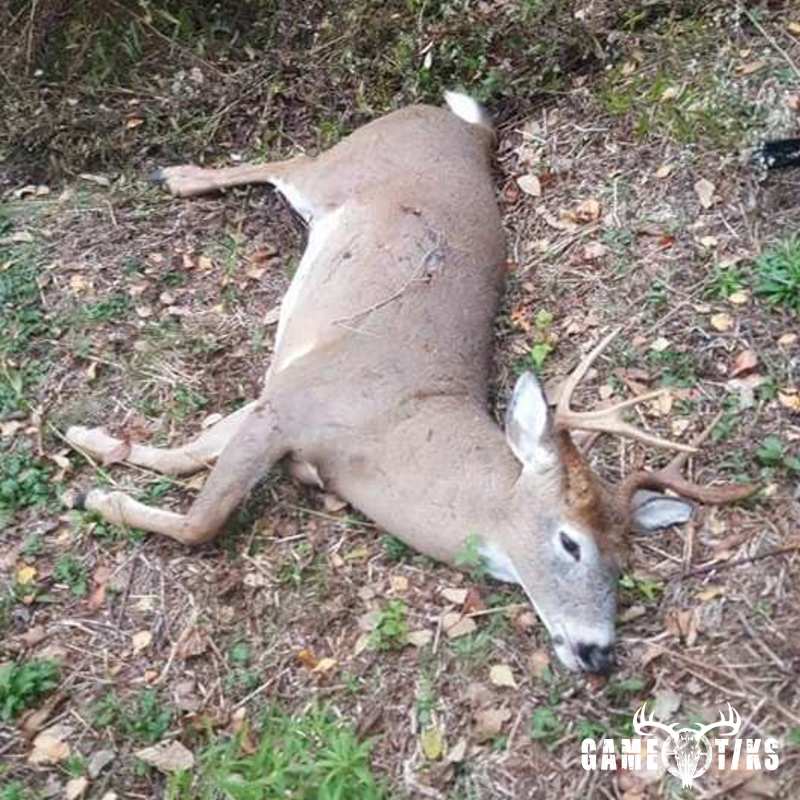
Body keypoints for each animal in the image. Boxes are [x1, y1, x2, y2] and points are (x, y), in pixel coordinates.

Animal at [65, 92, 754, 674]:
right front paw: (93, 494)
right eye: (571, 542)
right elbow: (202, 520)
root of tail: (464, 129)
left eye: (623, 559)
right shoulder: (293, 403)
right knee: (288, 158)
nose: (598, 653)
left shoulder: (277, 397)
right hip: (339, 167)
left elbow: (186, 455)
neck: (389, 429)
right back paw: (173, 176)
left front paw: (89, 443)